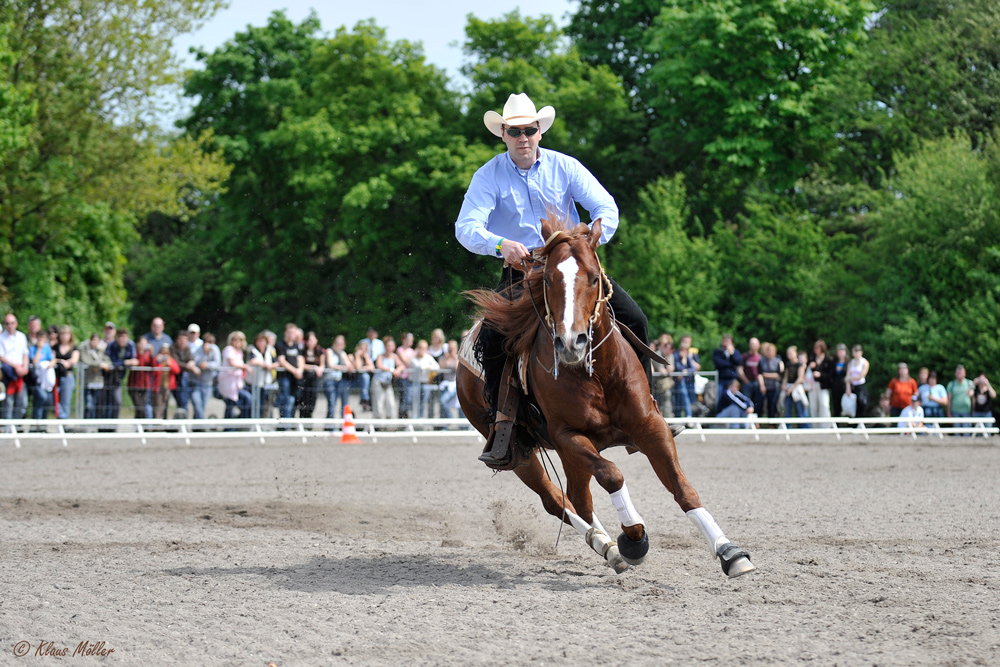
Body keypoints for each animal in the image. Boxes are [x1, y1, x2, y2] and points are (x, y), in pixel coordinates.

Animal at [458, 215, 752, 580]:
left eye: (594, 277)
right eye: (549, 279)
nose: (572, 342)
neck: (597, 373)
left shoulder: (650, 426)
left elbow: (682, 487)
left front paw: (729, 551)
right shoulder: (568, 436)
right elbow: (612, 475)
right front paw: (634, 539)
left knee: (577, 498)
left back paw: (607, 546)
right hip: (520, 452)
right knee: (558, 500)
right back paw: (607, 546)